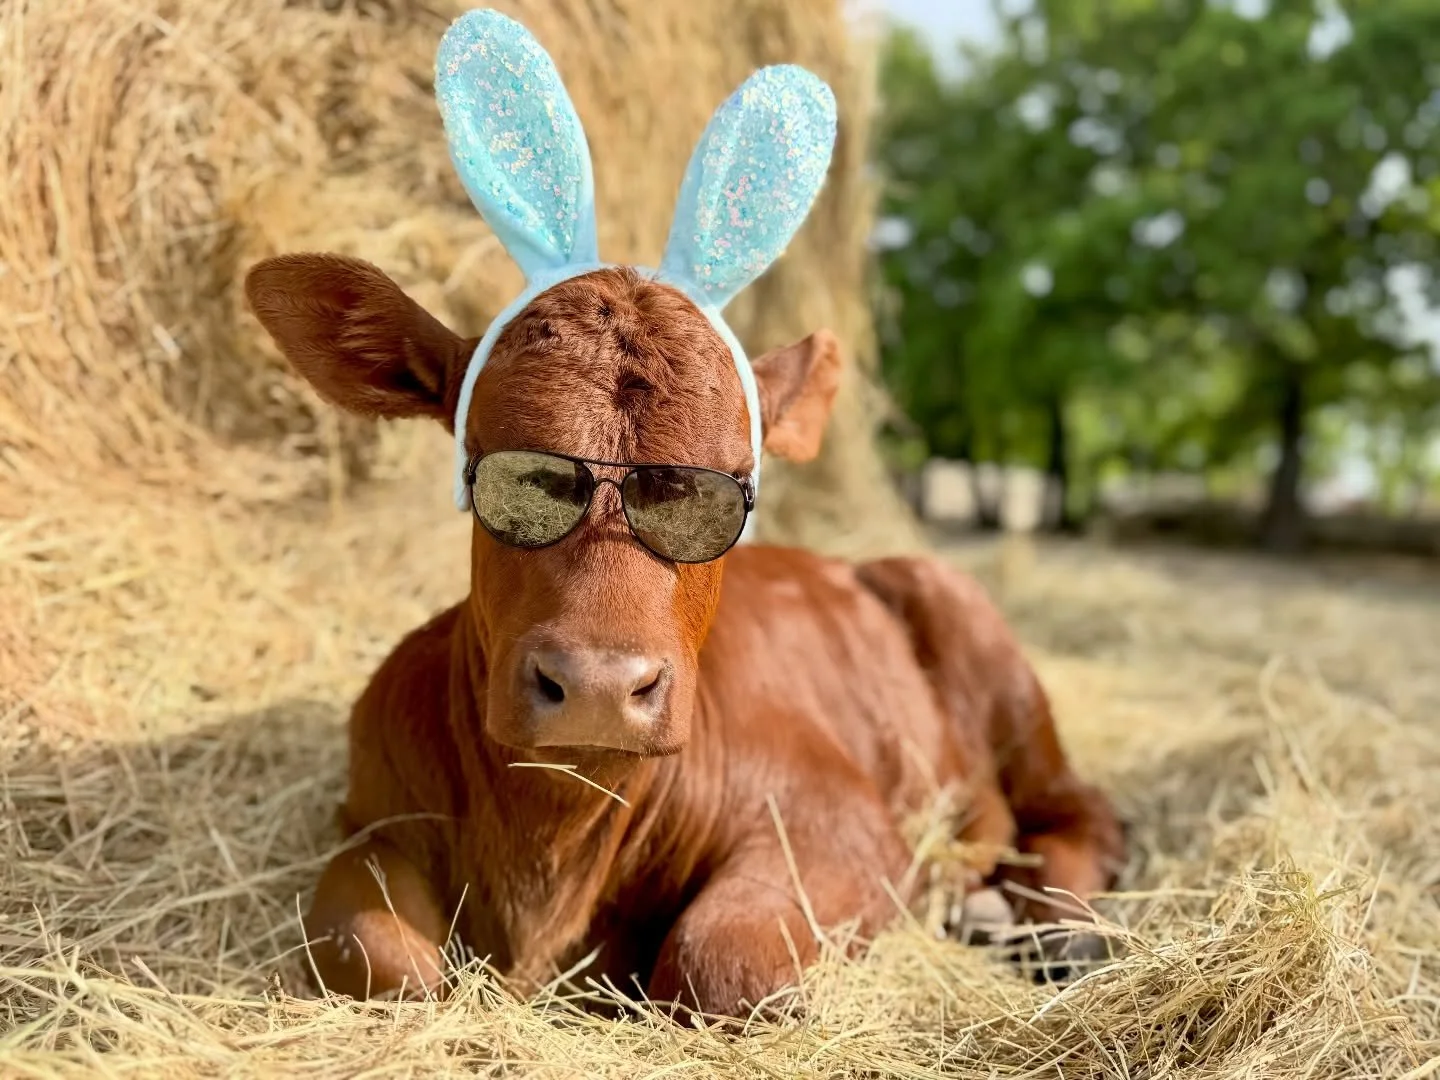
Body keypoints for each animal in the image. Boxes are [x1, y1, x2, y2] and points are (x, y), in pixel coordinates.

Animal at [244, 255, 1127, 1019]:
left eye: (721, 489)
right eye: (509, 472)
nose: (597, 687)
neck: (548, 852)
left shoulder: (839, 821)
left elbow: (717, 960)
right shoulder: (370, 813)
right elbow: (373, 951)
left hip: (981, 651)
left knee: (1079, 811)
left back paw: (1061, 931)